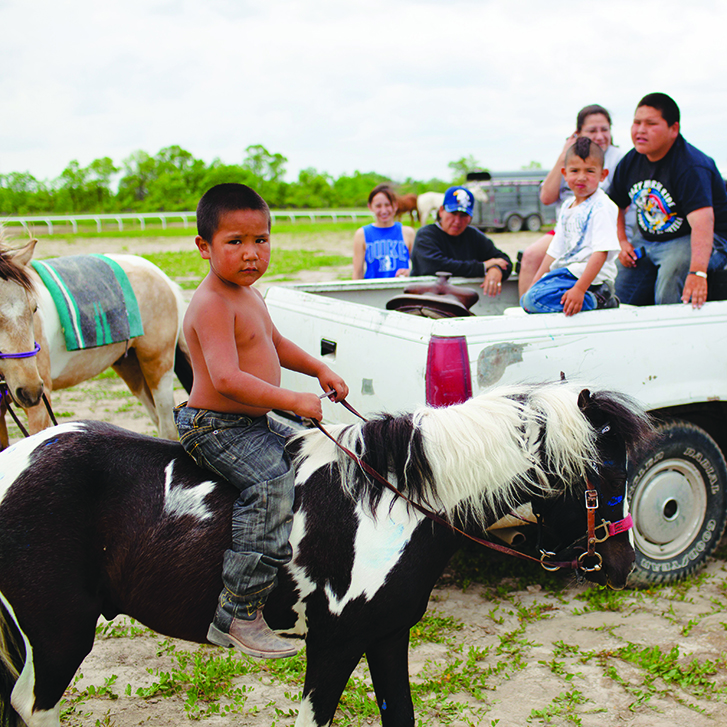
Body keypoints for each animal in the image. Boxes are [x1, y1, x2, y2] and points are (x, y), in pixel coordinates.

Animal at [0, 237, 191, 447]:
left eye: (34, 308)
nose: (29, 390)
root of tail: (162, 276)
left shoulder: (41, 404)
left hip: (157, 365)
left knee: (168, 428)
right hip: (131, 368)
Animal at [0, 382, 653, 727]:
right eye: (608, 473)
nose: (622, 565)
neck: (394, 507)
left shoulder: (386, 636)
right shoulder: (334, 644)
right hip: (60, 635)